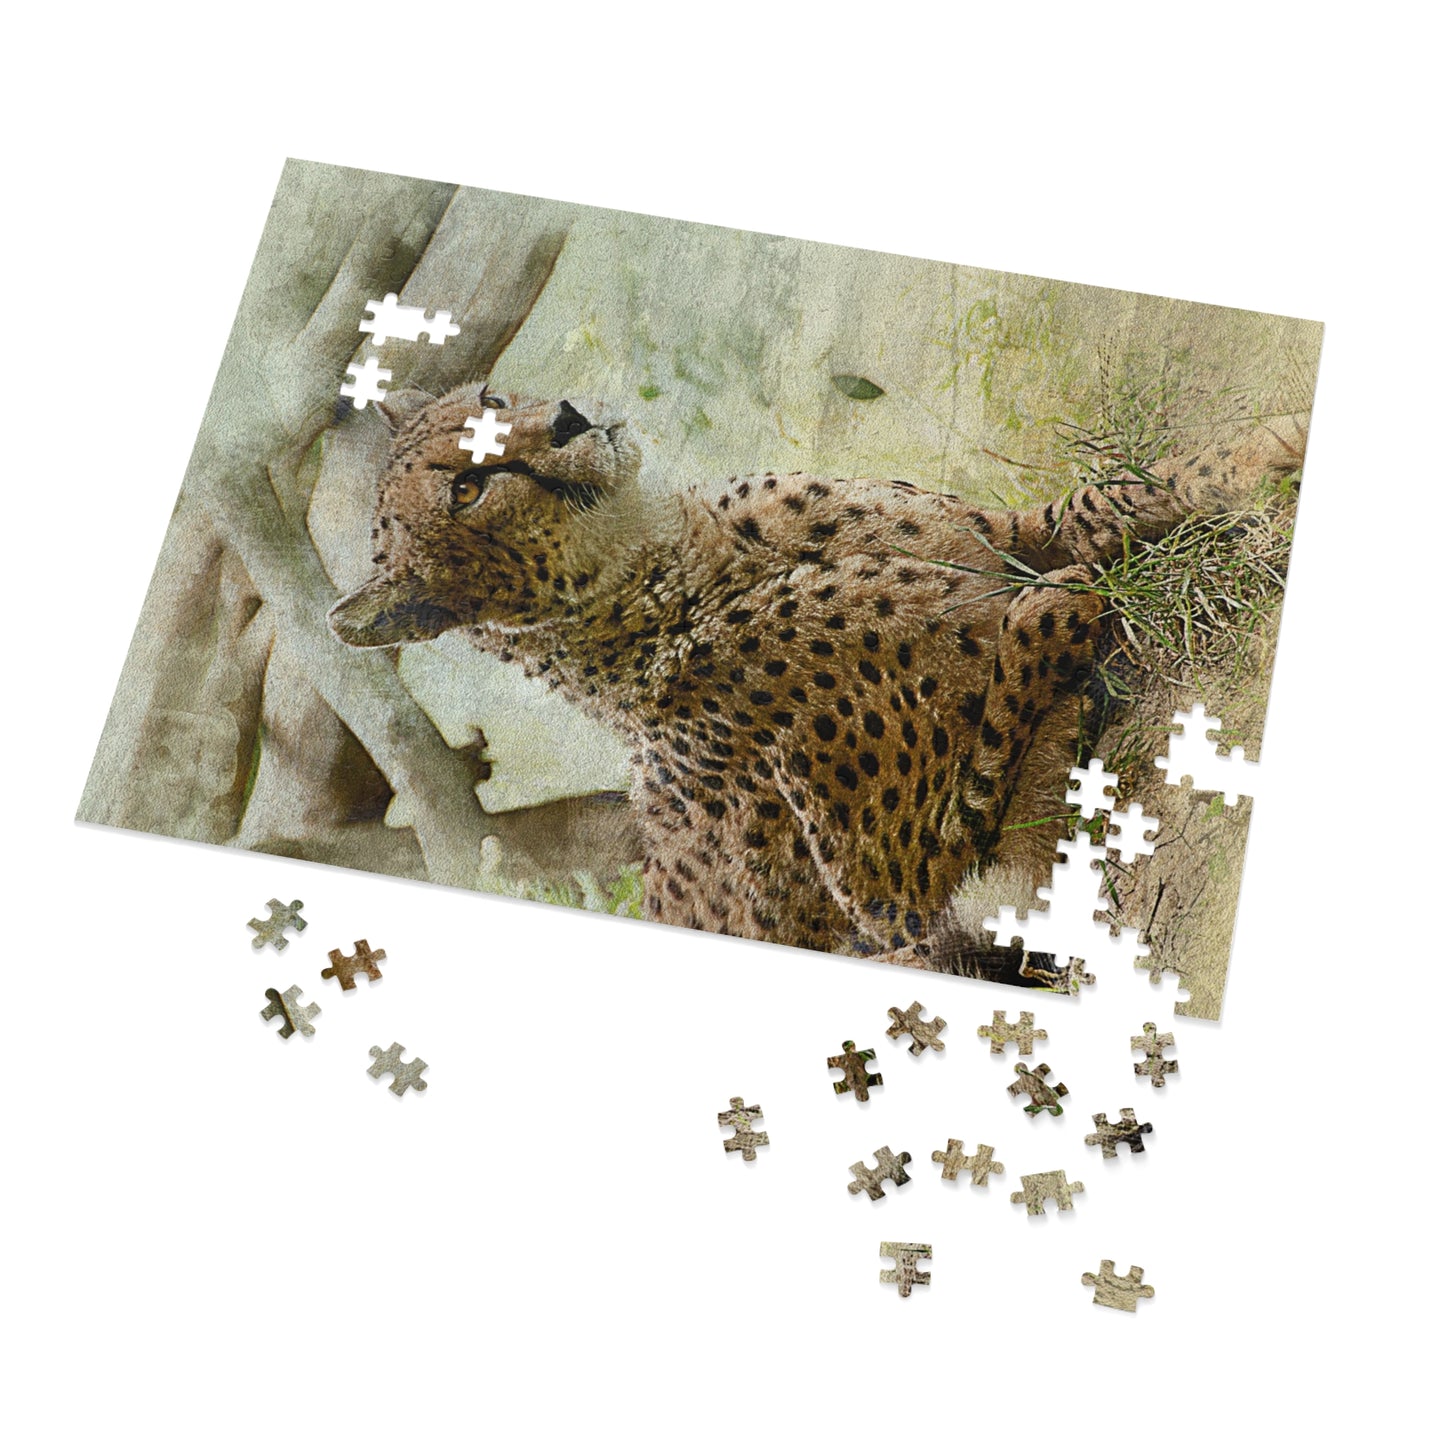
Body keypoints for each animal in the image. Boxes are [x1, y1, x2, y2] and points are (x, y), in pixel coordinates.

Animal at [329, 386, 1305, 979]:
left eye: (492, 401)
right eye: (464, 490)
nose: (568, 418)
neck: (667, 562)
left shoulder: (1008, 535)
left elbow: (1117, 493)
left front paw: (1270, 448)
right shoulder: (900, 903)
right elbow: (1025, 650)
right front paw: (1063, 619)